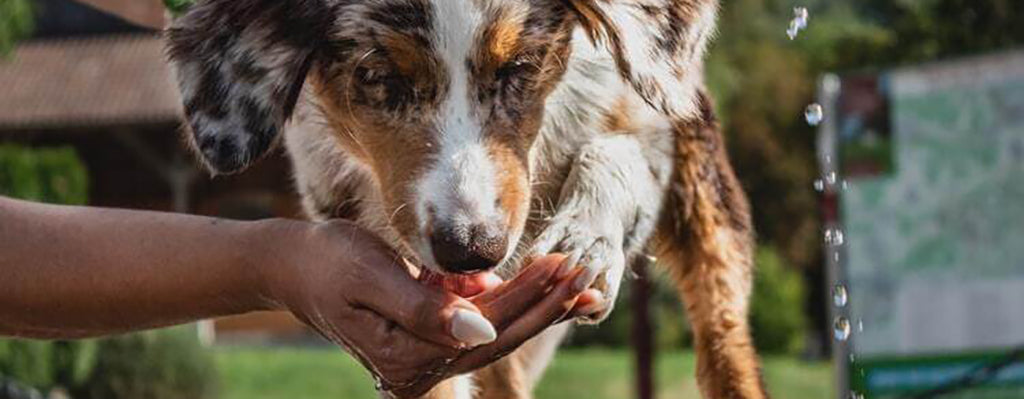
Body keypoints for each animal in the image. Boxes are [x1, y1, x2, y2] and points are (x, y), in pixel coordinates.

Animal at [165, 0, 761, 394]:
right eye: (378, 76)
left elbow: (614, 155)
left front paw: (584, 242)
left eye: (519, 67)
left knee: (723, 334)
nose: (472, 249)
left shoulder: (650, 121)